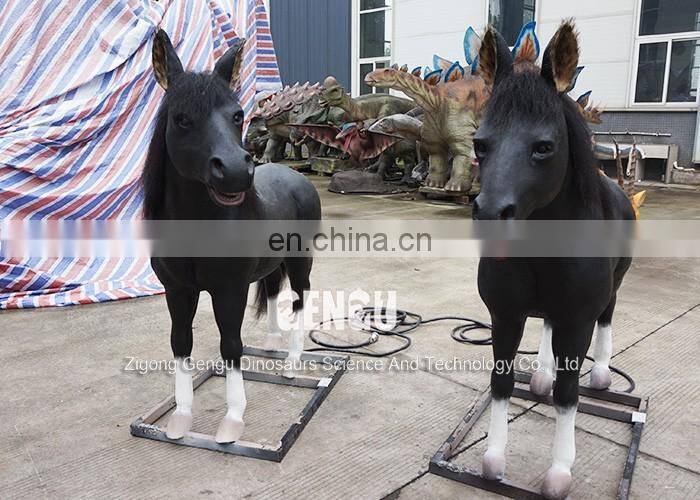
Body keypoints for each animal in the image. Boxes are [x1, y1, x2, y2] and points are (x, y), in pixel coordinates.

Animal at [142, 30, 321, 444]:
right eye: (181, 119)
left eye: (237, 115)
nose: (237, 172)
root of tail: (297, 177)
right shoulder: (178, 289)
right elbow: (181, 342)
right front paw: (182, 417)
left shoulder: (229, 289)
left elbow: (231, 344)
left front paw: (233, 421)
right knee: (272, 291)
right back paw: (271, 345)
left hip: (301, 261)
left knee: (299, 300)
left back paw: (291, 362)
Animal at [471, 21, 635, 499]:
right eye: (479, 144)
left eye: (543, 147)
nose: (490, 214)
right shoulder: (505, 315)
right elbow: (502, 383)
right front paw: (494, 458)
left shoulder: (578, 320)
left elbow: (568, 393)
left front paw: (560, 471)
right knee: (545, 321)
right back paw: (542, 372)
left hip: (613, 289)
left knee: (607, 317)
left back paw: (601, 374)